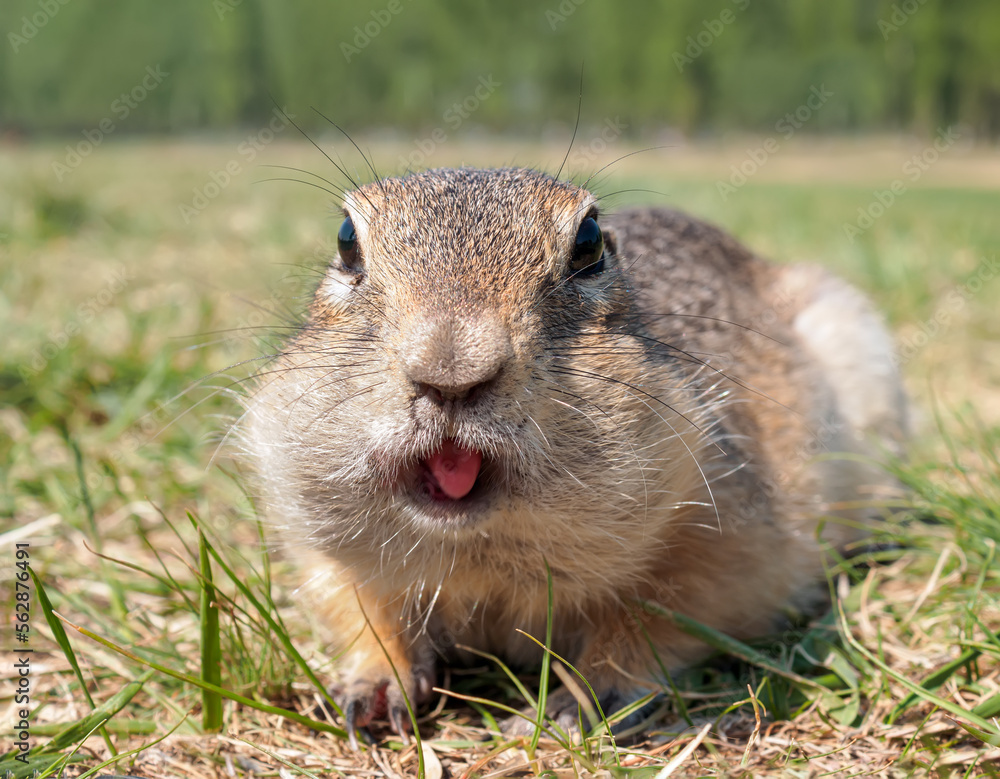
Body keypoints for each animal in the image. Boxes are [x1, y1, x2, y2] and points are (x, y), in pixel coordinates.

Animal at [242, 166, 908, 744]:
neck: (477, 549)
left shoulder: (726, 526)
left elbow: (665, 615)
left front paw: (582, 699)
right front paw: (374, 687)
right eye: (346, 241)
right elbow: (355, 604)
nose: (450, 371)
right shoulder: (316, 533)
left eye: (588, 244)